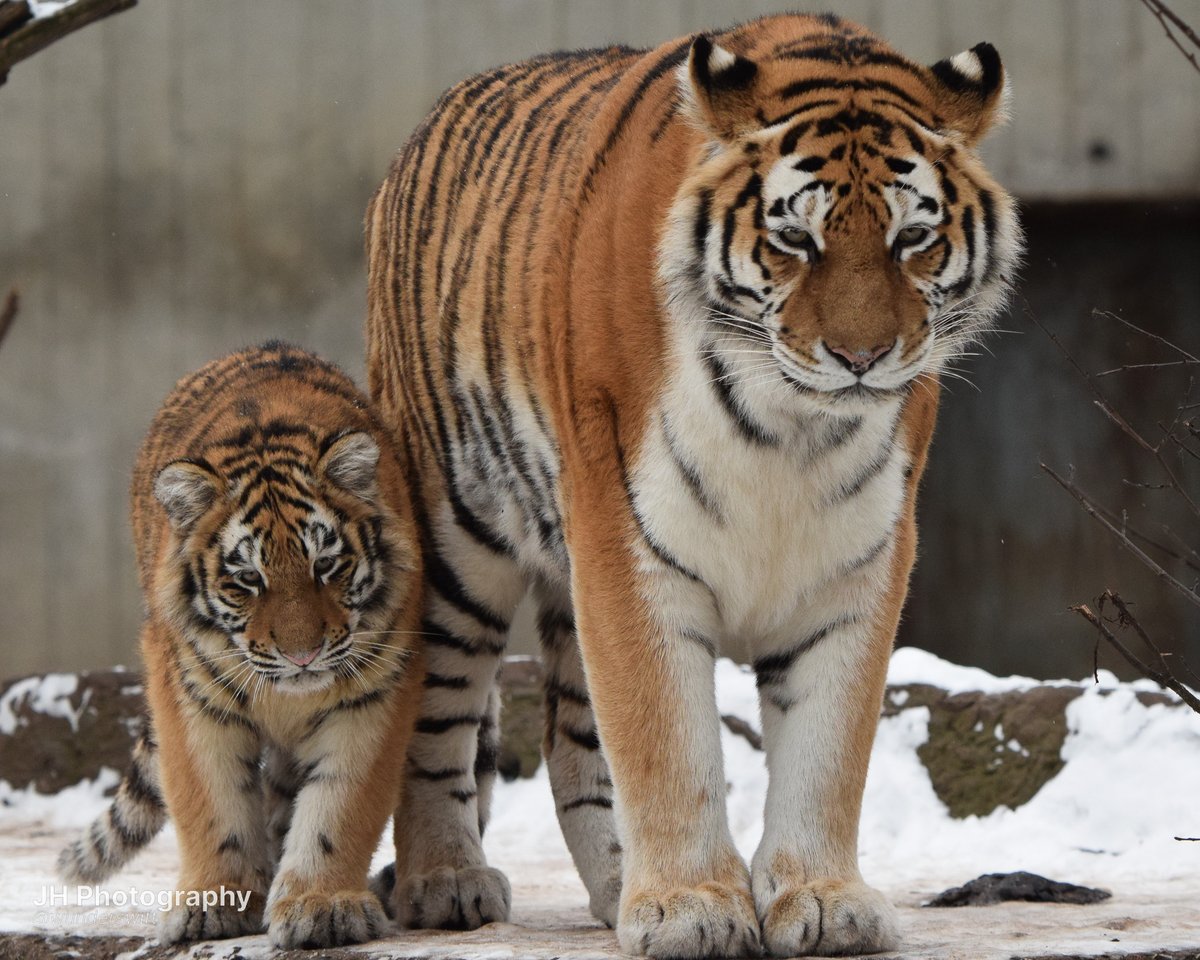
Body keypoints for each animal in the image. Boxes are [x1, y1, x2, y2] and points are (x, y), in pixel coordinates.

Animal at [57, 342, 426, 950]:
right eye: (248, 579)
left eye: (326, 565)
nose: (303, 655)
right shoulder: (190, 693)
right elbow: (212, 803)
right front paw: (214, 903)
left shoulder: (374, 692)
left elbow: (339, 806)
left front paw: (322, 906)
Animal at [365, 12, 1021, 959]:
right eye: (795, 242)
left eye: (912, 240)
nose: (861, 357)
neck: (792, 431)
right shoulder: (626, 543)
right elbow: (667, 742)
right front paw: (690, 908)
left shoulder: (858, 563)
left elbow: (826, 747)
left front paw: (822, 899)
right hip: (456, 539)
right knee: (438, 719)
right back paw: (445, 881)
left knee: (570, 737)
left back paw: (614, 889)